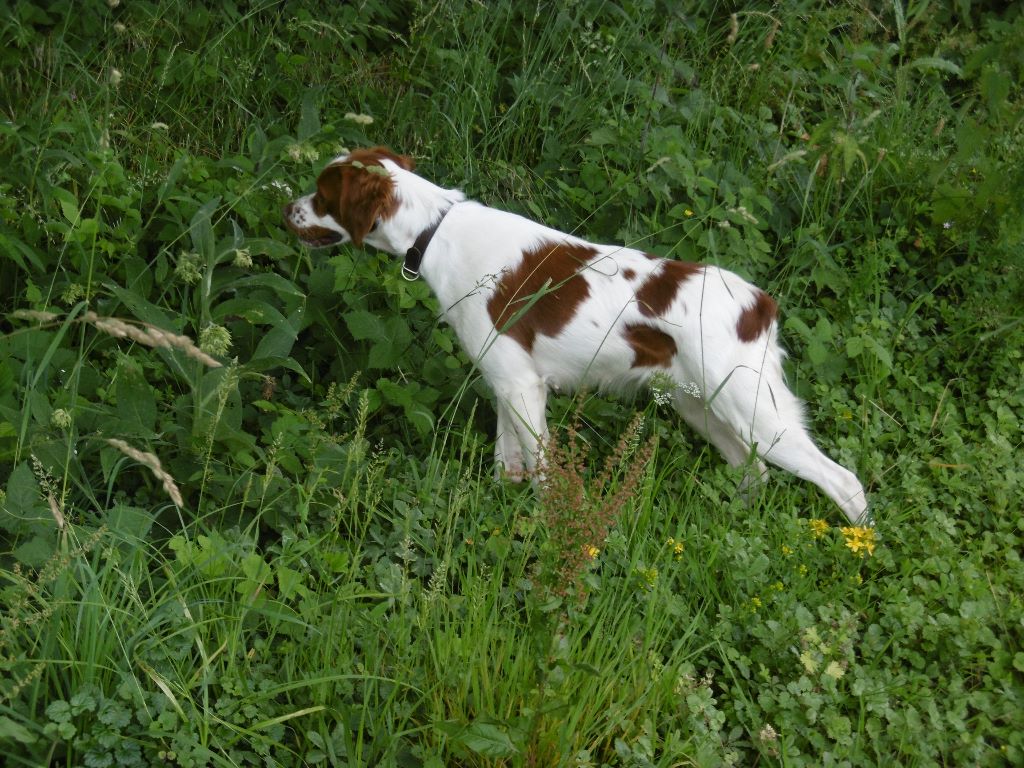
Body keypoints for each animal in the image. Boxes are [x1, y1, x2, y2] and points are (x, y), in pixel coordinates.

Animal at [284, 147, 868, 528]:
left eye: (322, 195)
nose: (287, 210)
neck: (437, 230)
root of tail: (759, 304)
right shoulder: (508, 382)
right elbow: (508, 466)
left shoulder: (521, 386)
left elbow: (543, 475)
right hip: (701, 406)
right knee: (755, 474)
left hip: (755, 412)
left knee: (844, 481)